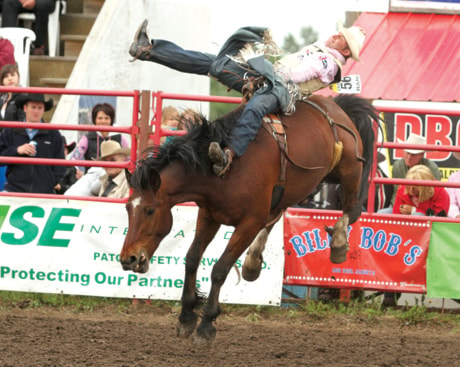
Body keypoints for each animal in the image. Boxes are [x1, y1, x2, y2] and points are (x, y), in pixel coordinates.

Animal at [120, 94, 380, 344]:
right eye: (127, 208)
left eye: (150, 210)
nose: (128, 259)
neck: (222, 172)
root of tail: (336, 106)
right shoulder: (209, 216)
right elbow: (192, 259)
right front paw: (186, 317)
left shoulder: (249, 223)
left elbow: (220, 269)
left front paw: (206, 325)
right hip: (293, 189)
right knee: (276, 216)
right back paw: (252, 263)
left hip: (348, 170)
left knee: (352, 208)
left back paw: (338, 244)